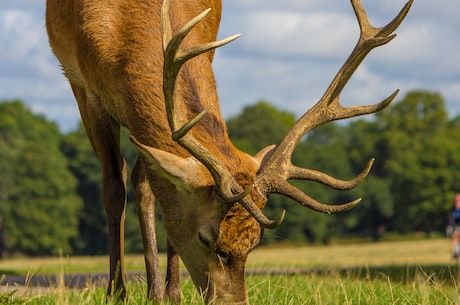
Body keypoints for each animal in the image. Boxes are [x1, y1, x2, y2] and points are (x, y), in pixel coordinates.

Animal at [46, 0, 414, 302]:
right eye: (205, 238)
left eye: (255, 241)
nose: (234, 301)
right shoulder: (85, 87)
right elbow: (112, 189)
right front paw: (116, 294)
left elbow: (158, 188)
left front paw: (169, 294)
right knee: (124, 182)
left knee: (145, 180)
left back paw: (162, 291)